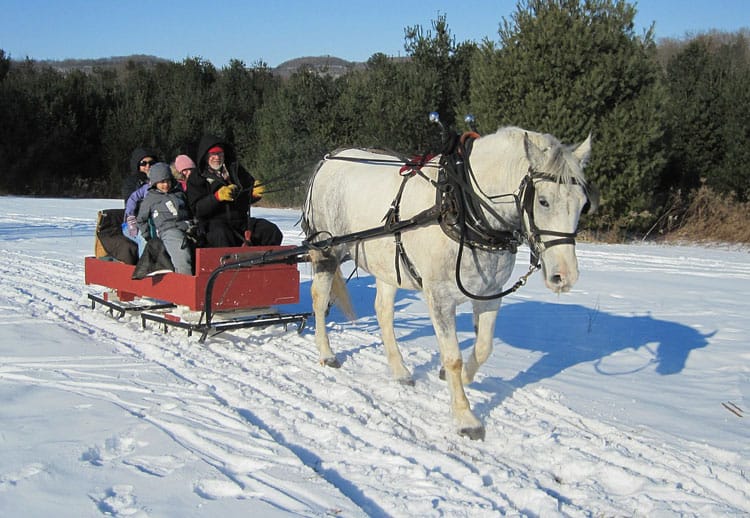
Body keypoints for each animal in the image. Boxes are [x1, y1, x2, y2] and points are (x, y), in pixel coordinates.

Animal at [302, 127, 596, 442]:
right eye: (543, 201)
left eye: (583, 204)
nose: (564, 276)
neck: (463, 208)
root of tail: (328, 158)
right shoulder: (439, 296)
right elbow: (453, 356)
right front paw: (466, 418)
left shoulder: (490, 293)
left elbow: (484, 347)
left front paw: (458, 378)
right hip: (327, 251)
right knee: (319, 298)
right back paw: (327, 354)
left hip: (387, 265)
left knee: (383, 312)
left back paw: (400, 370)